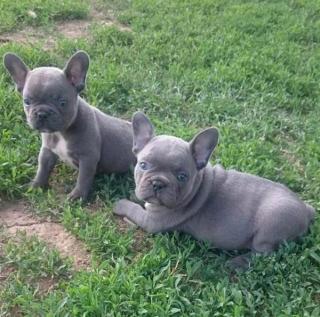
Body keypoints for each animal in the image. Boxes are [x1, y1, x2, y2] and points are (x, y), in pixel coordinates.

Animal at [4, 51, 136, 200]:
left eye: (62, 102)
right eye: (27, 101)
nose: (42, 113)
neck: (60, 133)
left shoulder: (87, 158)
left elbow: (83, 178)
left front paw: (77, 196)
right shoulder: (47, 151)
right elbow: (42, 169)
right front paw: (36, 185)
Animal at [114, 112, 316, 268]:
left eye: (182, 177)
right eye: (143, 165)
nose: (157, 183)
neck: (198, 184)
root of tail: (306, 210)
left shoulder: (152, 221)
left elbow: (134, 209)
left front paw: (120, 203)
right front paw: (134, 194)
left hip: (269, 227)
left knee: (264, 253)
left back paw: (237, 263)